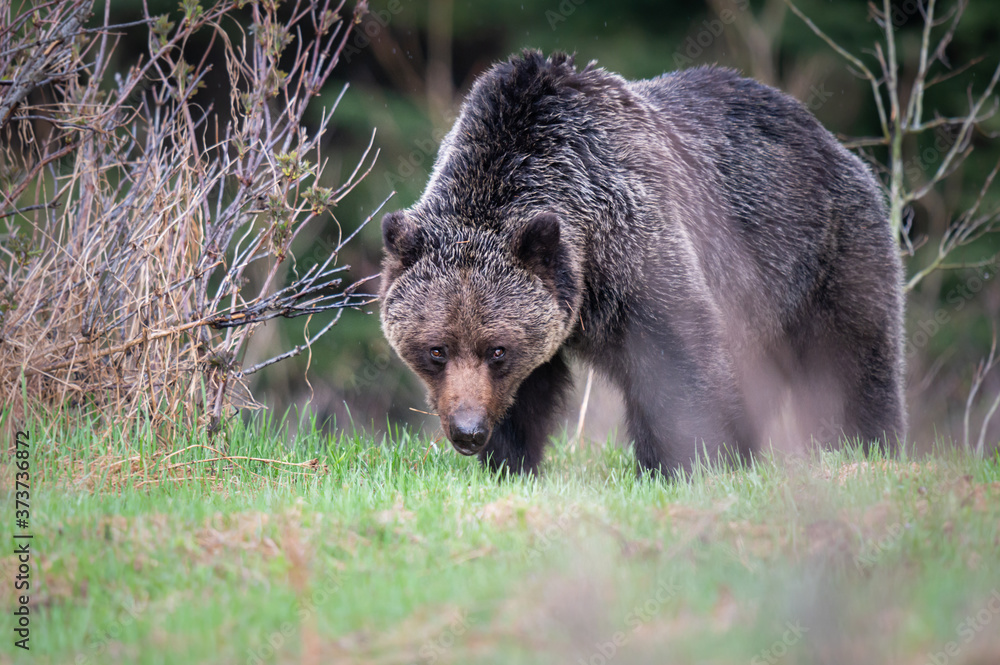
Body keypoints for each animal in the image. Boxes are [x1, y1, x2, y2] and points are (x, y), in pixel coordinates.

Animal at [379, 51, 906, 477]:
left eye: (497, 350)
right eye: (437, 349)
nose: (467, 430)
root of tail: (828, 138)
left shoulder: (639, 250)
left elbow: (677, 361)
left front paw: (685, 464)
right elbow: (530, 392)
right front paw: (510, 462)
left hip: (823, 253)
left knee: (850, 360)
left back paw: (864, 447)